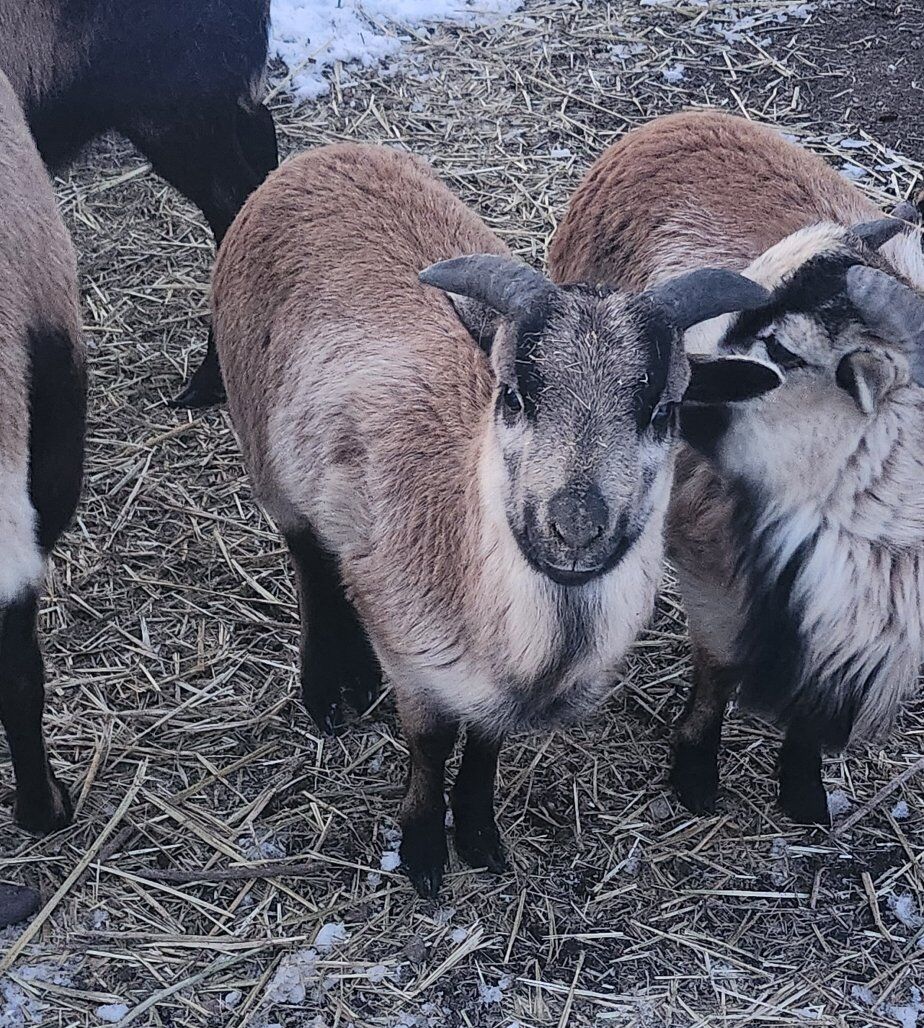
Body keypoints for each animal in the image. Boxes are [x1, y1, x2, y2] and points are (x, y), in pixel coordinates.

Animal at [211, 141, 780, 896]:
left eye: (664, 411)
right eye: (511, 395)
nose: (575, 528)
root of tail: (325, 155)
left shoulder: (492, 691)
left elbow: (485, 744)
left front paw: (480, 836)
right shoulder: (418, 663)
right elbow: (429, 746)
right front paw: (424, 849)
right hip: (263, 448)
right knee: (309, 561)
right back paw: (326, 689)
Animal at [549, 110, 924, 825]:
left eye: (786, 350)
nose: (666, 374)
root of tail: (679, 119)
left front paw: (804, 792)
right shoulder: (718, 573)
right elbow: (719, 667)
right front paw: (694, 774)